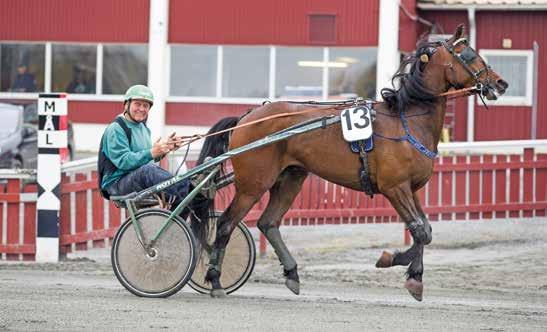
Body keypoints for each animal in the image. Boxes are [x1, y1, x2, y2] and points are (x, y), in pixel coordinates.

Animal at [194, 25, 510, 300]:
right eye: (468, 54)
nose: (501, 82)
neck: (407, 120)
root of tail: (248, 116)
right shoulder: (395, 188)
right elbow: (419, 231)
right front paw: (392, 259)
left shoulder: (413, 188)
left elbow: (425, 230)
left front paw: (416, 277)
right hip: (254, 183)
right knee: (225, 224)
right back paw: (215, 281)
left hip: (291, 177)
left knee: (268, 222)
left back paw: (292, 273)